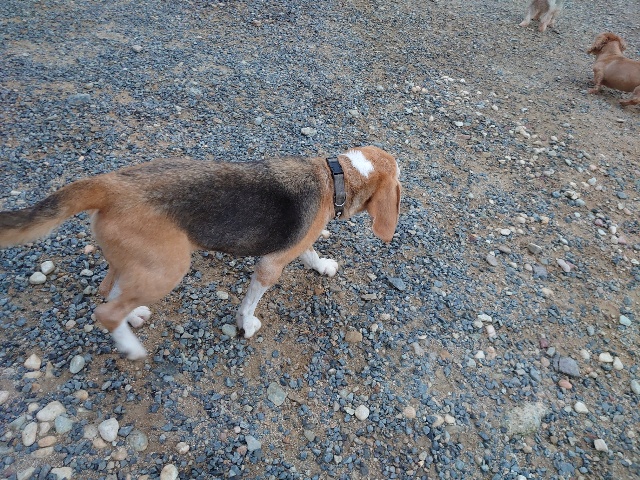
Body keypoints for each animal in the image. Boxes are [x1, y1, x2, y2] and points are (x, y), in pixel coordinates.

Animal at [0, 146, 401, 359]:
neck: (336, 176)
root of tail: (109, 184)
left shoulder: (296, 245)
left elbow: (311, 255)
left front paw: (324, 266)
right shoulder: (270, 265)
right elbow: (251, 301)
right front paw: (246, 325)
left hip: (136, 261)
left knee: (107, 289)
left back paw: (134, 317)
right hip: (170, 267)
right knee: (105, 311)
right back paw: (131, 347)